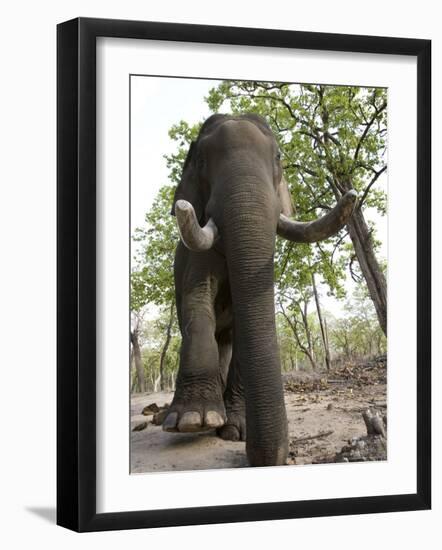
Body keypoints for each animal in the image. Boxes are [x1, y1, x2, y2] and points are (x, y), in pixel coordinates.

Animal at [161, 114, 358, 468]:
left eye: (278, 157)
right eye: (201, 161)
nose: (257, 454)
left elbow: (245, 323)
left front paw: (236, 431)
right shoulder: (193, 258)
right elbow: (197, 301)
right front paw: (193, 421)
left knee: (226, 340)